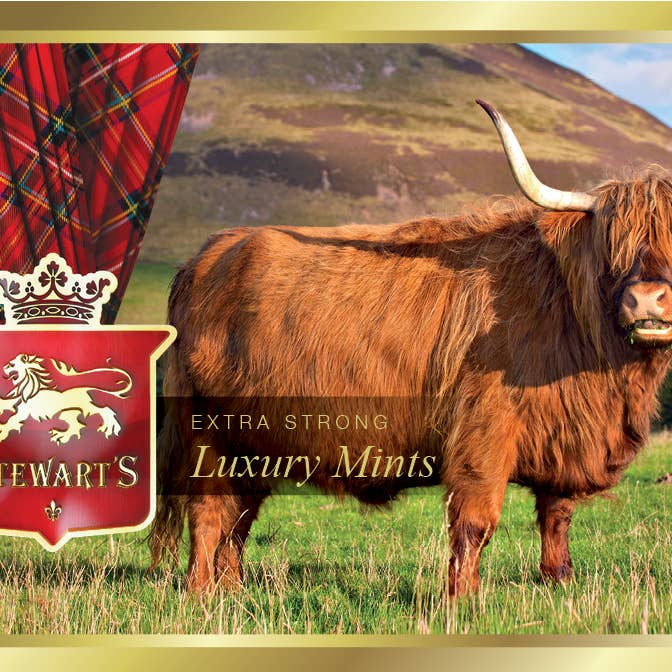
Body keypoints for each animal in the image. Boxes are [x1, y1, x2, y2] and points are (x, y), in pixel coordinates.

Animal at [149, 100, 672, 596]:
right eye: (614, 245)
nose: (647, 300)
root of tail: (206, 256)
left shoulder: (566, 438)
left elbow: (556, 517)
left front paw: (559, 582)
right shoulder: (484, 430)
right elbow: (475, 523)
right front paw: (462, 599)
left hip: (254, 445)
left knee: (238, 518)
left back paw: (232, 589)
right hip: (206, 435)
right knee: (208, 515)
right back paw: (201, 594)